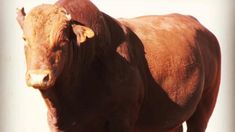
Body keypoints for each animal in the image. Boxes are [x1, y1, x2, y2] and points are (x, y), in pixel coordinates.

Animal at [16, 0, 220, 131]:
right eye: (25, 39)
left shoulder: (122, 118)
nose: (39, 77)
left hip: (205, 106)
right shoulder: (57, 123)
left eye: (63, 40)